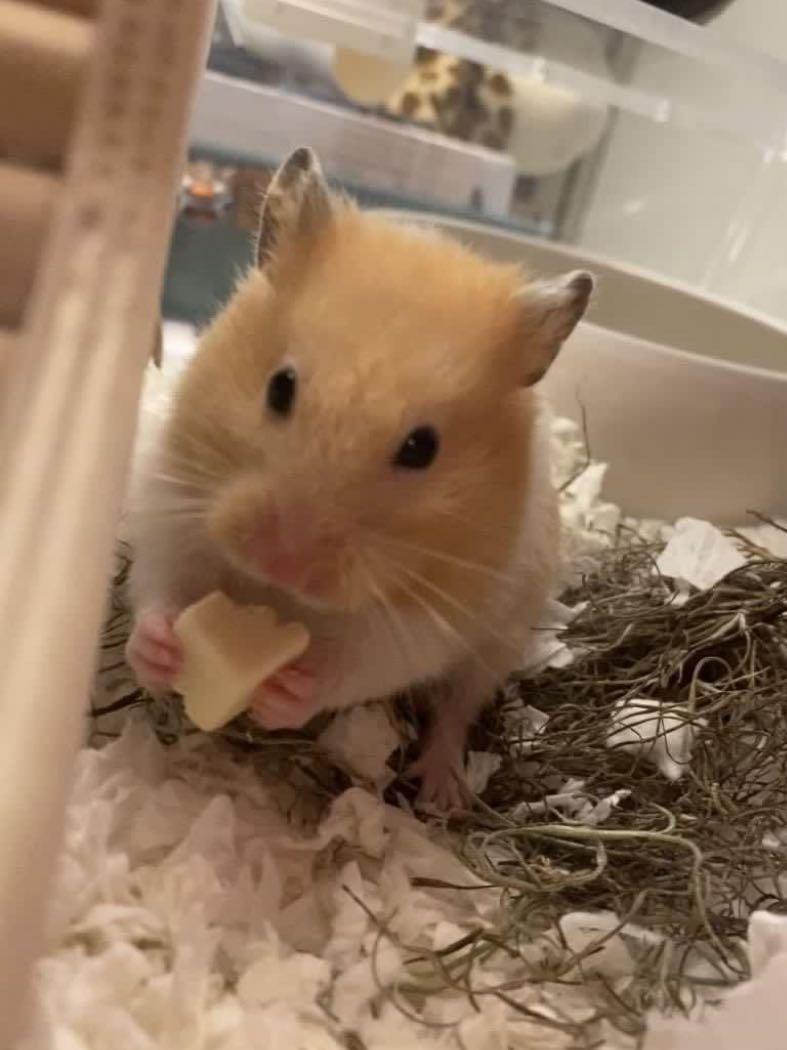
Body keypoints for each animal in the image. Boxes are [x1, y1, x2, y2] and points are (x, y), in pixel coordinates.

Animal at [126, 147, 592, 809]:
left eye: (423, 448)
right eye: (280, 387)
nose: (282, 561)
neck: (278, 598)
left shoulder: (425, 618)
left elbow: (358, 664)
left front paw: (287, 691)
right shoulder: (170, 497)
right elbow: (159, 584)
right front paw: (161, 649)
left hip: (501, 635)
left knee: (458, 707)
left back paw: (440, 792)